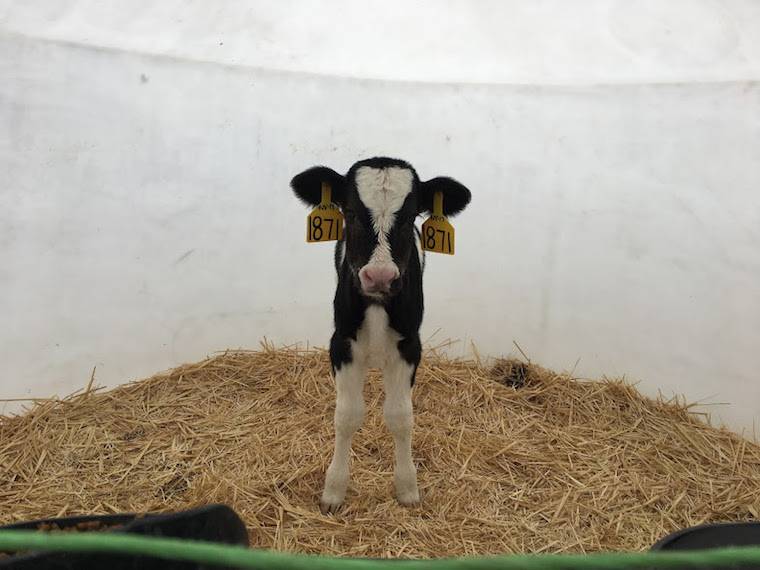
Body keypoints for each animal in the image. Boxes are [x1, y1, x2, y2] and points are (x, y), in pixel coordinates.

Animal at [290, 157, 471, 513]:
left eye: (411, 217)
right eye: (350, 212)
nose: (380, 276)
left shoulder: (410, 346)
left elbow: (400, 417)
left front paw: (407, 488)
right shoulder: (341, 344)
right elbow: (346, 416)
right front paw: (334, 491)